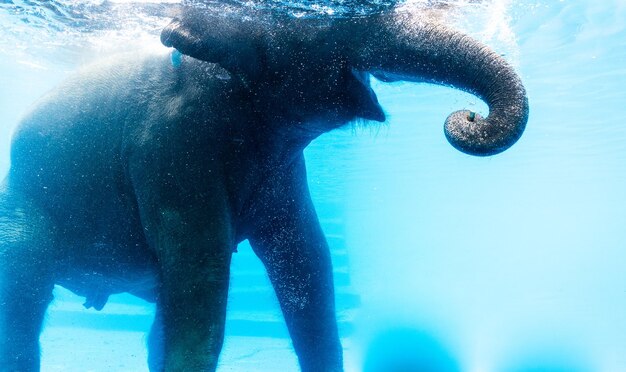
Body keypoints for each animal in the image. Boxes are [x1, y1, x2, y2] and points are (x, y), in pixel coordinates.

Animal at [0, 5, 528, 372]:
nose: (468, 117)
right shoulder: (170, 145)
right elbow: (201, 268)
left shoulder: (283, 167)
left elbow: (307, 260)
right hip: (22, 212)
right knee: (24, 293)